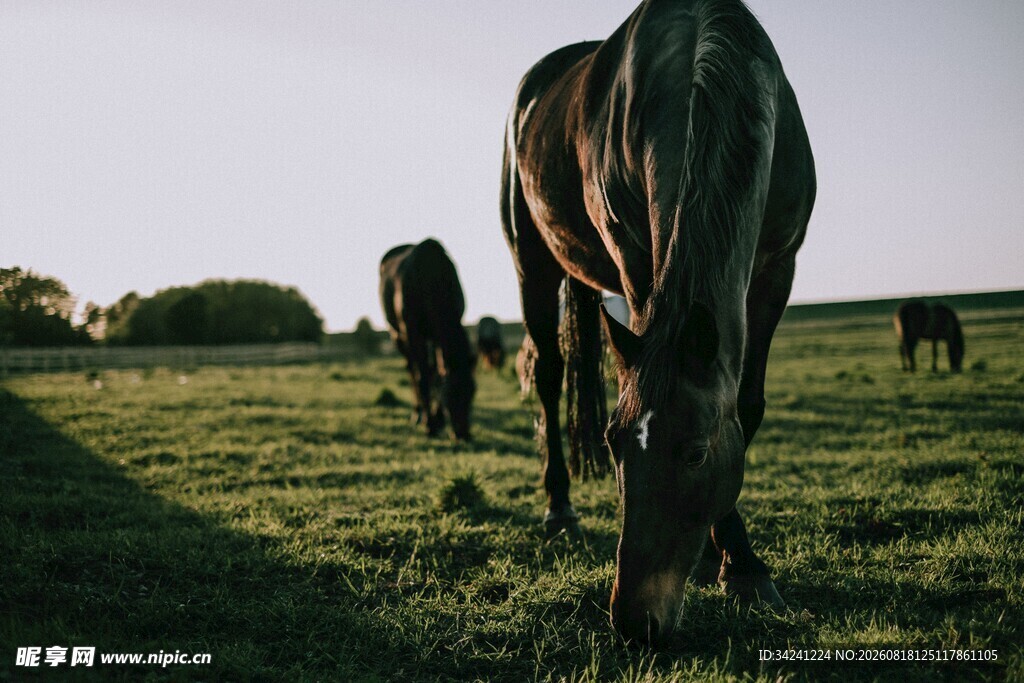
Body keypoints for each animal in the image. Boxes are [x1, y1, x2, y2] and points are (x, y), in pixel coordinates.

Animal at [379, 239, 477, 440]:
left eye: (472, 392)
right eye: (450, 394)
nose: (463, 434)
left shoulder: (437, 336)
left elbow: (438, 373)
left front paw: (438, 419)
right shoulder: (413, 333)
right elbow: (423, 376)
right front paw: (430, 424)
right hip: (398, 336)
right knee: (412, 370)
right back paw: (417, 414)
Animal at [501, 0, 815, 644]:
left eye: (694, 453)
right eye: (615, 444)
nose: (634, 621)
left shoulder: (778, 268)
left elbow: (747, 406)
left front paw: (737, 564)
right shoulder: (636, 258)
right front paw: (736, 562)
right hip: (532, 262)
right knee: (548, 376)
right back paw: (560, 509)